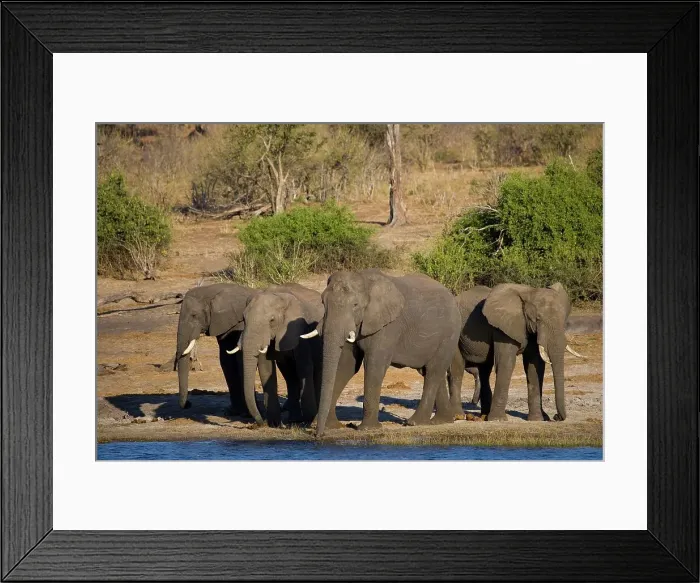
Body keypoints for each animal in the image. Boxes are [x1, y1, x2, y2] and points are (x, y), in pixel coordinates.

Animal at [174, 283, 258, 414]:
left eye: (194, 315)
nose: (189, 404)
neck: (213, 291)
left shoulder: (241, 323)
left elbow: (240, 359)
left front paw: (247, 414)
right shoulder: (222, 324)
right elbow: (226, 360)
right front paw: (235, 412)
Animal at [231, 283, 324, 427]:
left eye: (272, 320)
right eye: (244, 319)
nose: (260, 422)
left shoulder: (299, 328)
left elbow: (304, 366)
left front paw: (308, 420)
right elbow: (266, 369)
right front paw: (274, 424)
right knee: (289, 375)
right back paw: (294, 420)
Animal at [315, 269, 461, 437]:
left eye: (355, 305)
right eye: (323, 303)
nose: (318, 435)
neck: (364, 278)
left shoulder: (388, 326)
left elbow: (374, 365)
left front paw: (368, 429)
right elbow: (346, 366)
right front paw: (332, 426)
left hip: (449, 334)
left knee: (434, 372)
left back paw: (415, 422)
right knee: (431, 372)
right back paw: (441, 420)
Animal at [448, 282, 584, 422]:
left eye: (565, 320)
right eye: (538, 318)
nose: (556, 417)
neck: (530, 292)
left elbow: (534, 366)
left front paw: (538, 419)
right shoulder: (504, 329)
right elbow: (507, 363)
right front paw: (498, 419)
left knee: (484, 370)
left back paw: (484, 416)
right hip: (454, 334)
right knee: (457, 370)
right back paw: (458, 415)